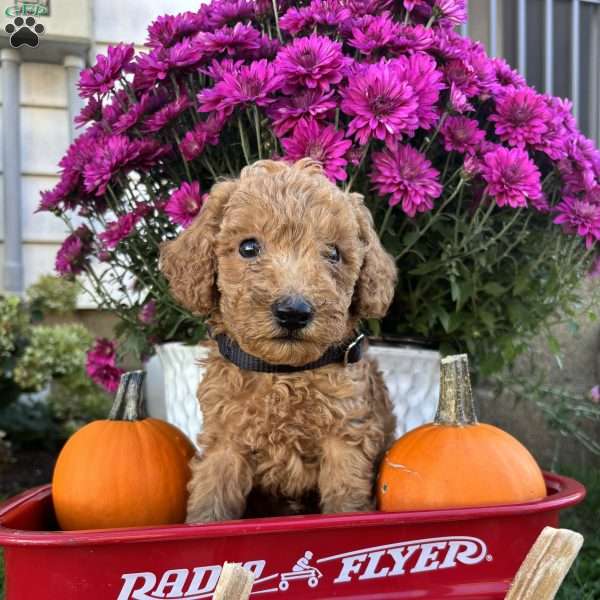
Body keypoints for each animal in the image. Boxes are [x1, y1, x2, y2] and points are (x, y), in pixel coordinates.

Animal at [162, 158, 400, 520]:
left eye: (333, 253)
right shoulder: (225, 441)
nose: (293, 312)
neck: (282, 374)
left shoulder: (345, 437)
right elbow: (211, 499)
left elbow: (345, 501)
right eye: (248, 247)